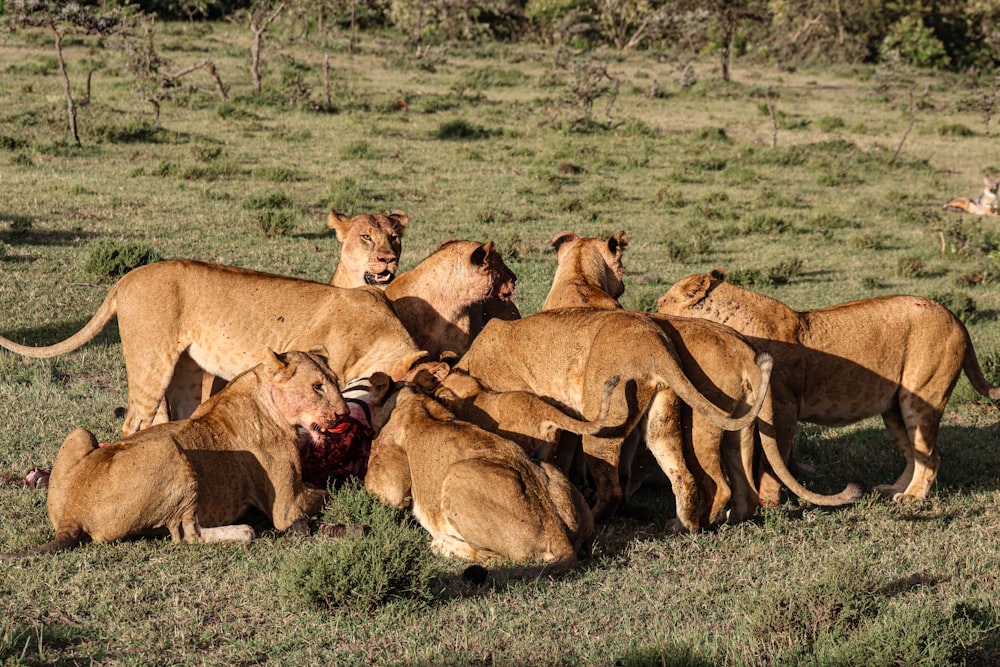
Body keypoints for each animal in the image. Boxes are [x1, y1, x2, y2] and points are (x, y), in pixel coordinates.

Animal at [1, 350, 348, 560]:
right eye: (317, 387)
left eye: (336, 381)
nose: (343, 414)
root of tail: (73, 513)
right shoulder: (286, 508)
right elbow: (329, 492)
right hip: (171, 450)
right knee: (186, 534)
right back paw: (243, 530)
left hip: (80, 433)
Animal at [362, 376, 588, 568]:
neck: (414, 399)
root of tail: (557, 532)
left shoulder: (391, 486)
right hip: (549, 471)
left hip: (457, 473)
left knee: (496, 558)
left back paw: (443, 546)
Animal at [656, 268, 1000, 504]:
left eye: (661, 303)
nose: (650, 312)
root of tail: (955, 317)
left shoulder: (783, 408)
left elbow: (772, 461)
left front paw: (768, 502)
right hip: (894, 408)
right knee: (915, 453)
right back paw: (894, 488)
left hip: (921, 399)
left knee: (931, 454)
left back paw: (912, 497)